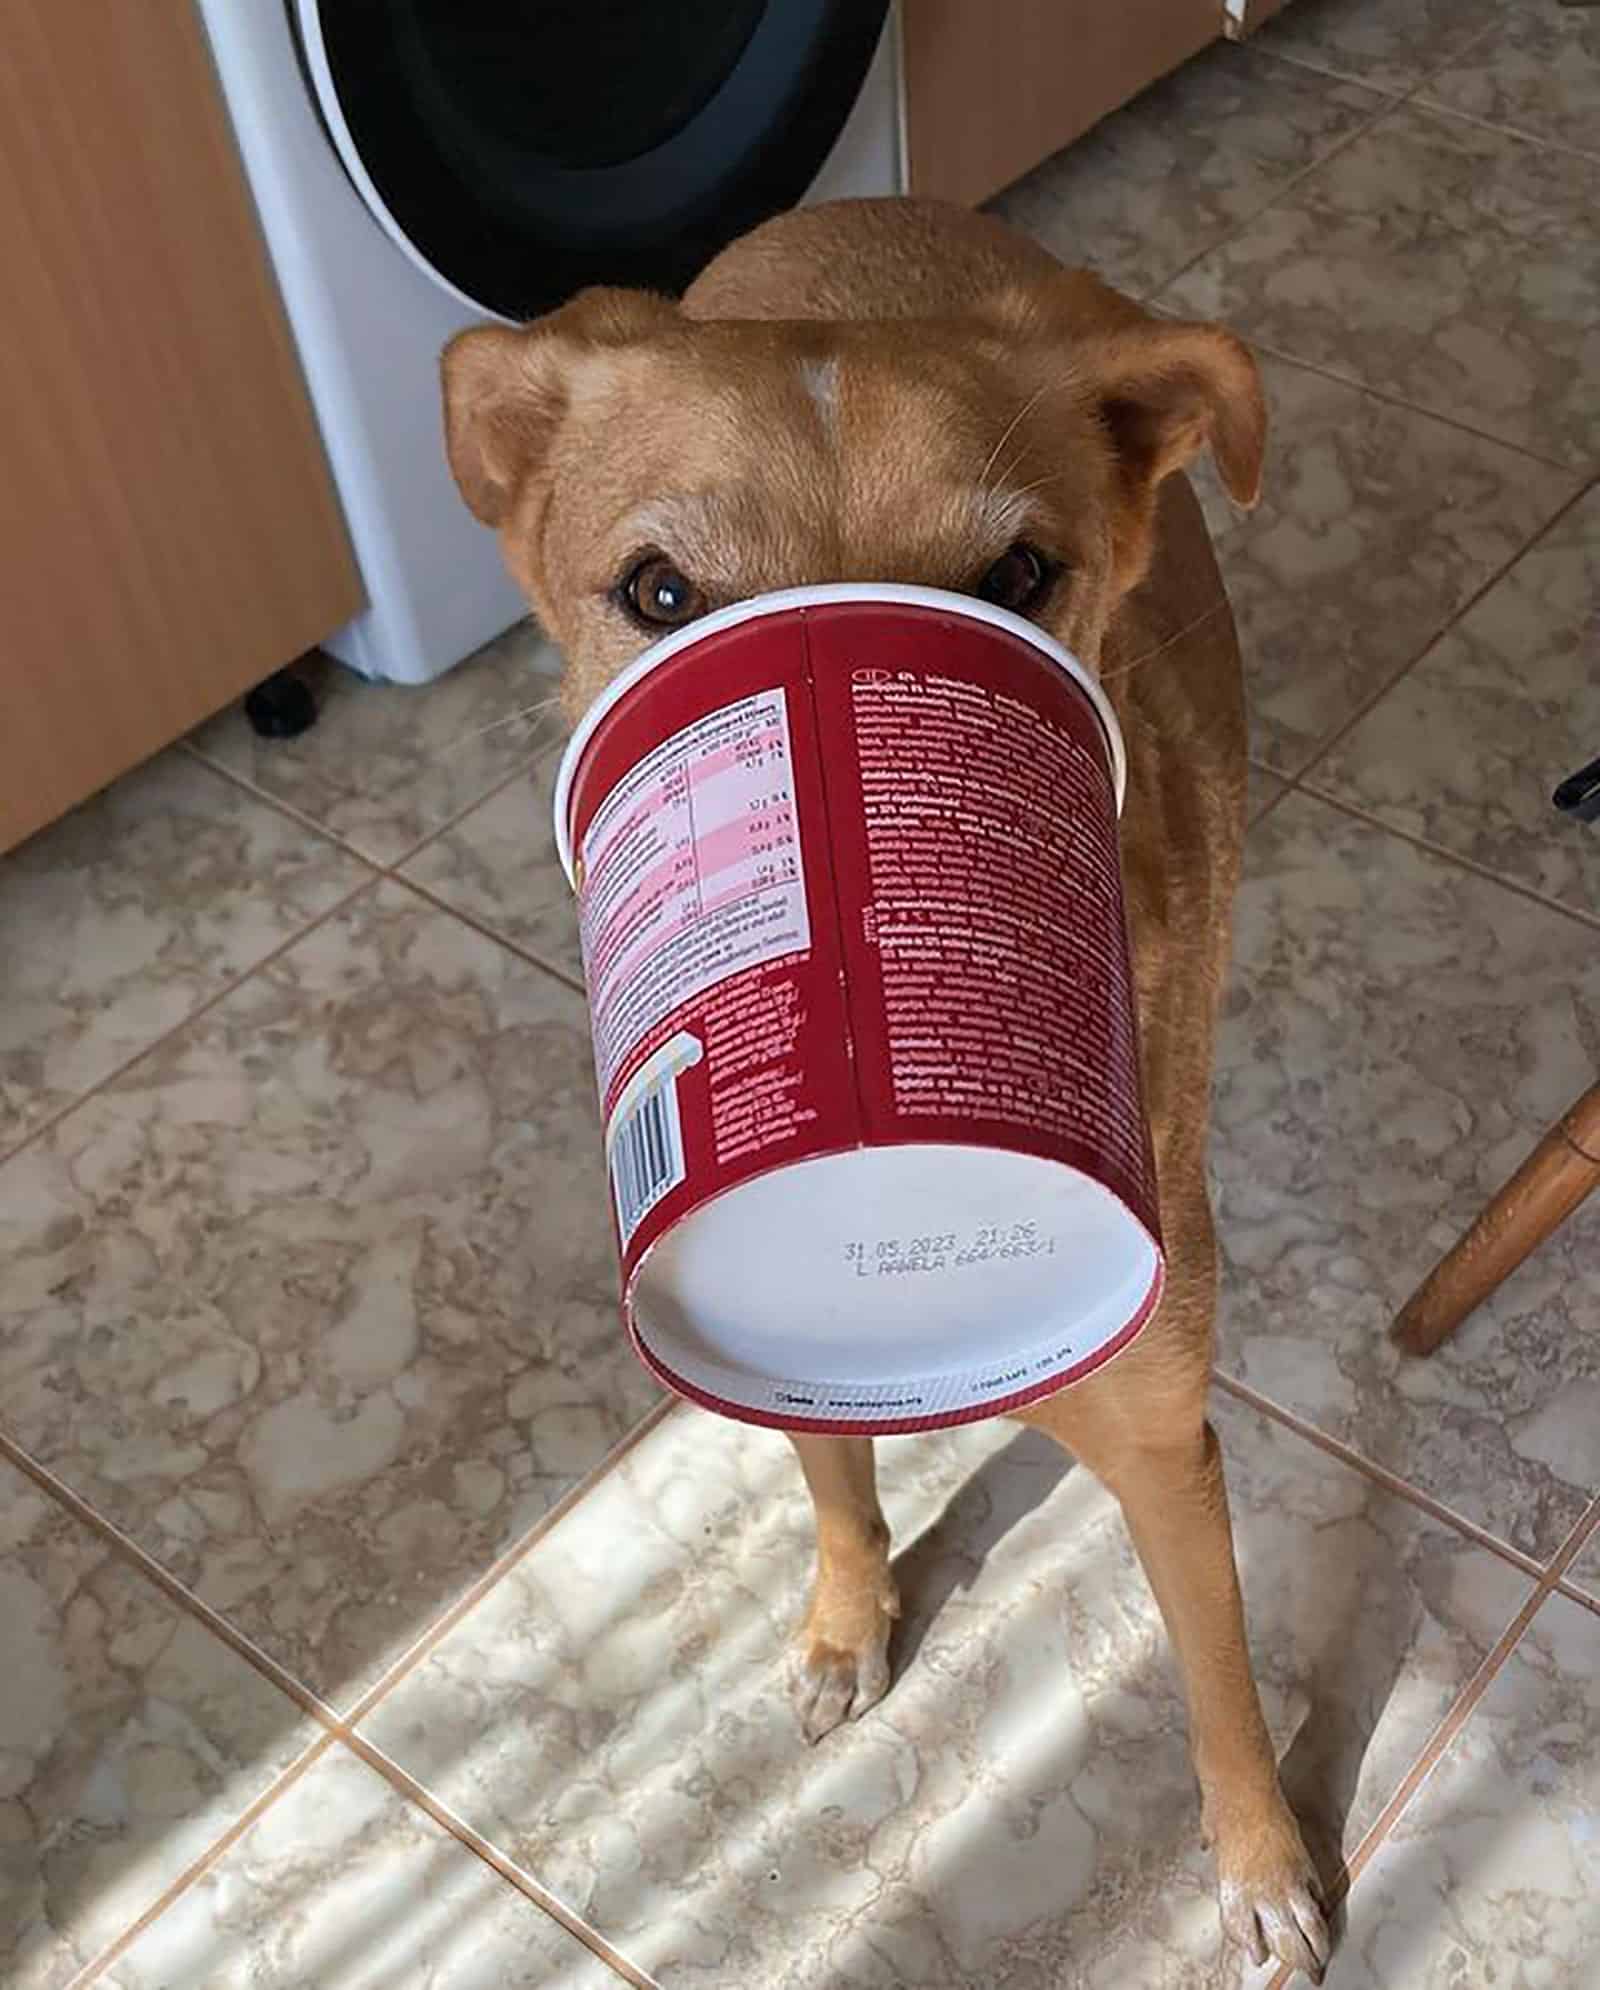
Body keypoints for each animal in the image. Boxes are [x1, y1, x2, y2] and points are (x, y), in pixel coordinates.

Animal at [443, 198, 1329, 1974]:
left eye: (1018, 579)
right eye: (658, 589)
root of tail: (865, 204)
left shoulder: (1163, 1430)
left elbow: (1216, 1679)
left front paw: (1264, 1863)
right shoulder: (765, 1339)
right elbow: (838, 1477)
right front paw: (852, 1616)